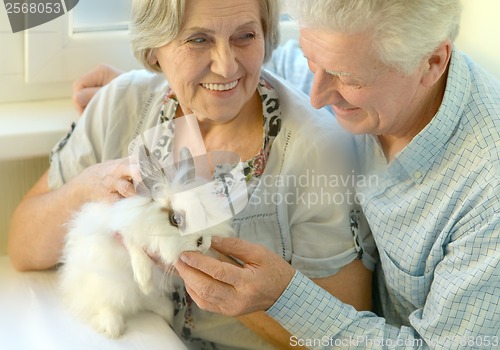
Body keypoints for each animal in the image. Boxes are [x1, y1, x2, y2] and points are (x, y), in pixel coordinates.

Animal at [58, 146, 234, 338]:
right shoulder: (118, 226)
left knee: (143, 300)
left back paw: (163, 309)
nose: (203, 243)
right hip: (102, 281)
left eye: (202, 210)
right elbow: (132, 243)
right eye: (175, 219)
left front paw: (145, 283)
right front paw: (143, 277)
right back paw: (113, 326)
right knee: (102, 301)